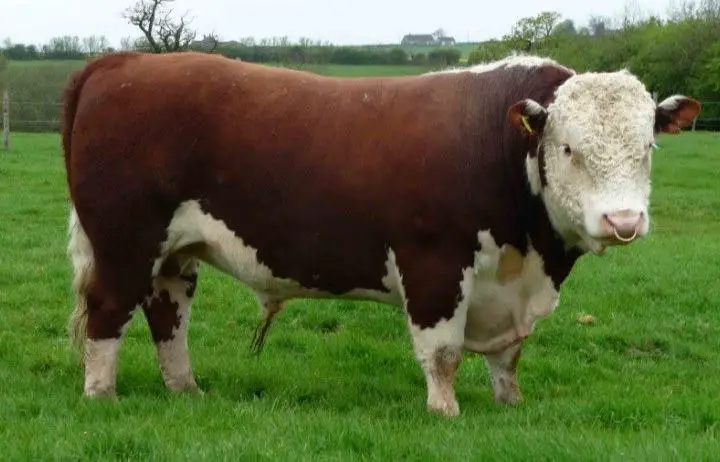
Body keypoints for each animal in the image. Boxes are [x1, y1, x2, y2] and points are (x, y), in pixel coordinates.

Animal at [61, 51, 700, 417]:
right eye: (568, 149)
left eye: (648, 146)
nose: (623, 222)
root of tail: (122, 61)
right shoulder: (435, 264)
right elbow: (442, 352)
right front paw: (444, 413)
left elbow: (509, 356)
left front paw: (509, 404)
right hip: (124, 240)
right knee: (108, 310)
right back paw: (100, 395)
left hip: (173, 253)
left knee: (167, 313)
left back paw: (186, 390)